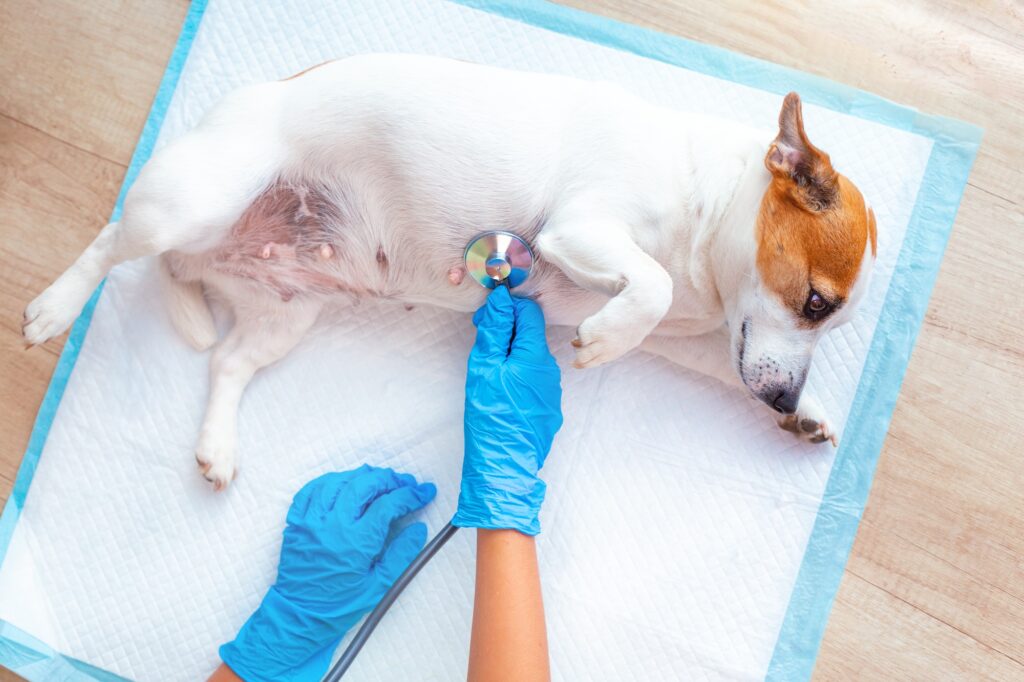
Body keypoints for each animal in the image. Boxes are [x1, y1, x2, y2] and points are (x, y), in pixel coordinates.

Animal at [22, 54, 872, 489]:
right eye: (816, 301)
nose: (783, 400)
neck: (707, 207)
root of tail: (193, 256)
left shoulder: (700, 337)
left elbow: (707, 350)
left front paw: (807, 411)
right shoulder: (580, 227)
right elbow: (649, 287)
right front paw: (603, 340)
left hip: (283, 312)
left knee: (227, 361)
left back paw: (218, 446)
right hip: (186, 206)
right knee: (110, 242)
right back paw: (55, 309)